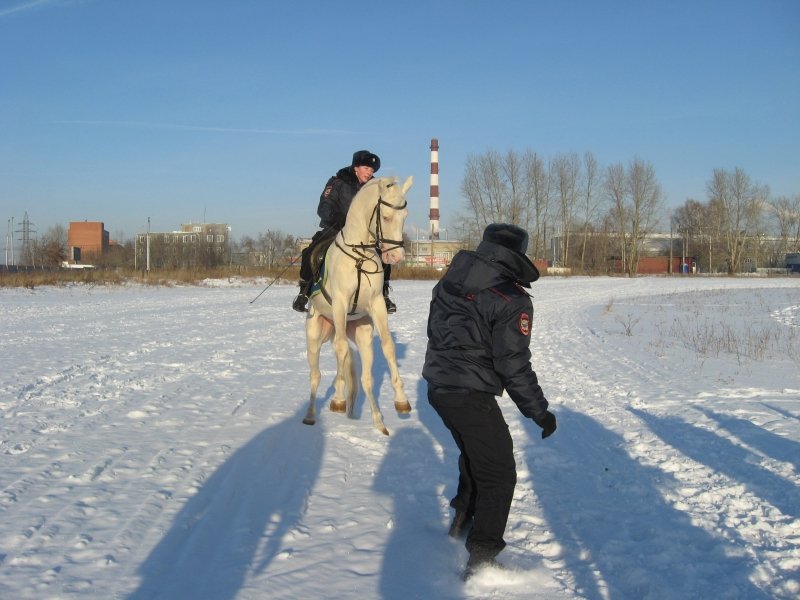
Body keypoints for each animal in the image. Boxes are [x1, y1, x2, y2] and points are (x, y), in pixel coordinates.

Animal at [302, 176, 412, 434]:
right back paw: (312, 414)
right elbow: (341, 350)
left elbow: (388, 346)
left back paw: (378, 421)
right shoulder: (340, 304)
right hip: (315, 335)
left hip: (360, 333)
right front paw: (338, 400)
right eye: (386, 217)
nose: (396, 258)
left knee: (364, 377)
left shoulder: (377, 304)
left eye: (405, 216)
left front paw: (401, 400)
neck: (359, 256)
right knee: (316, 374)